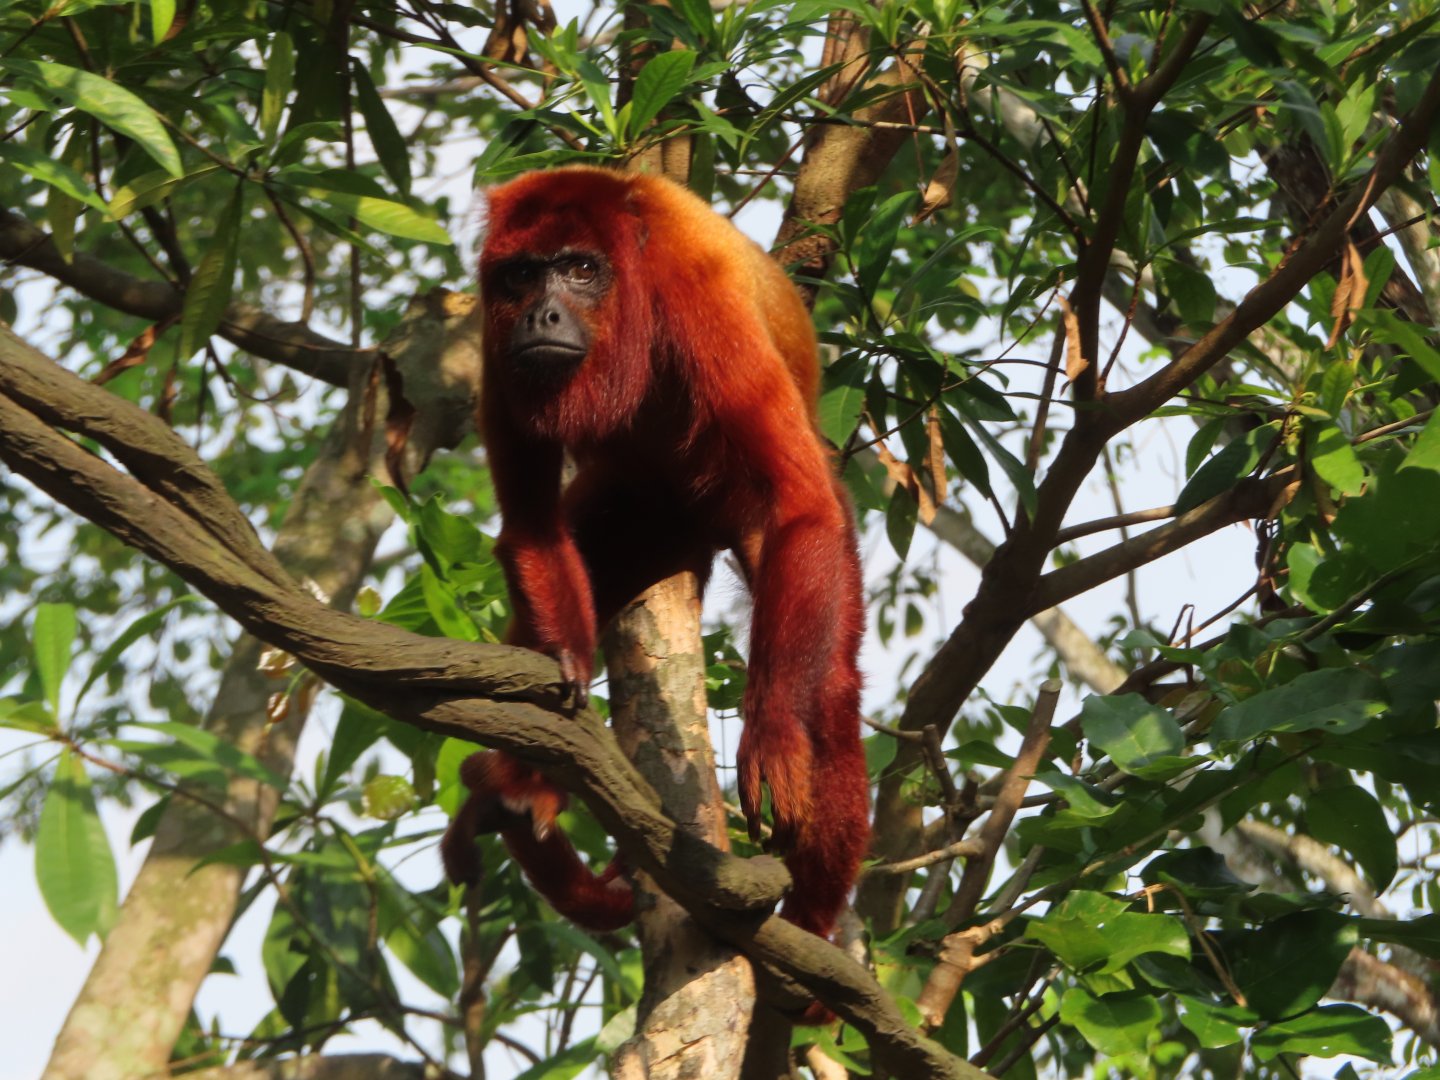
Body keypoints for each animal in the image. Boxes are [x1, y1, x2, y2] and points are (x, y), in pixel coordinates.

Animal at [440, 165, 869, 942]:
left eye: (580, 270)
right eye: (522, 275)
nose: (542, 317)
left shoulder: (701, 298)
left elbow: (800, 504)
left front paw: (771, 743)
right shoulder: (493, 338)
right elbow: (530, 525)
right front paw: (564, 667)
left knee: (829, 686)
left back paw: (809, 924)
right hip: (637, 515)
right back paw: (513, 791)